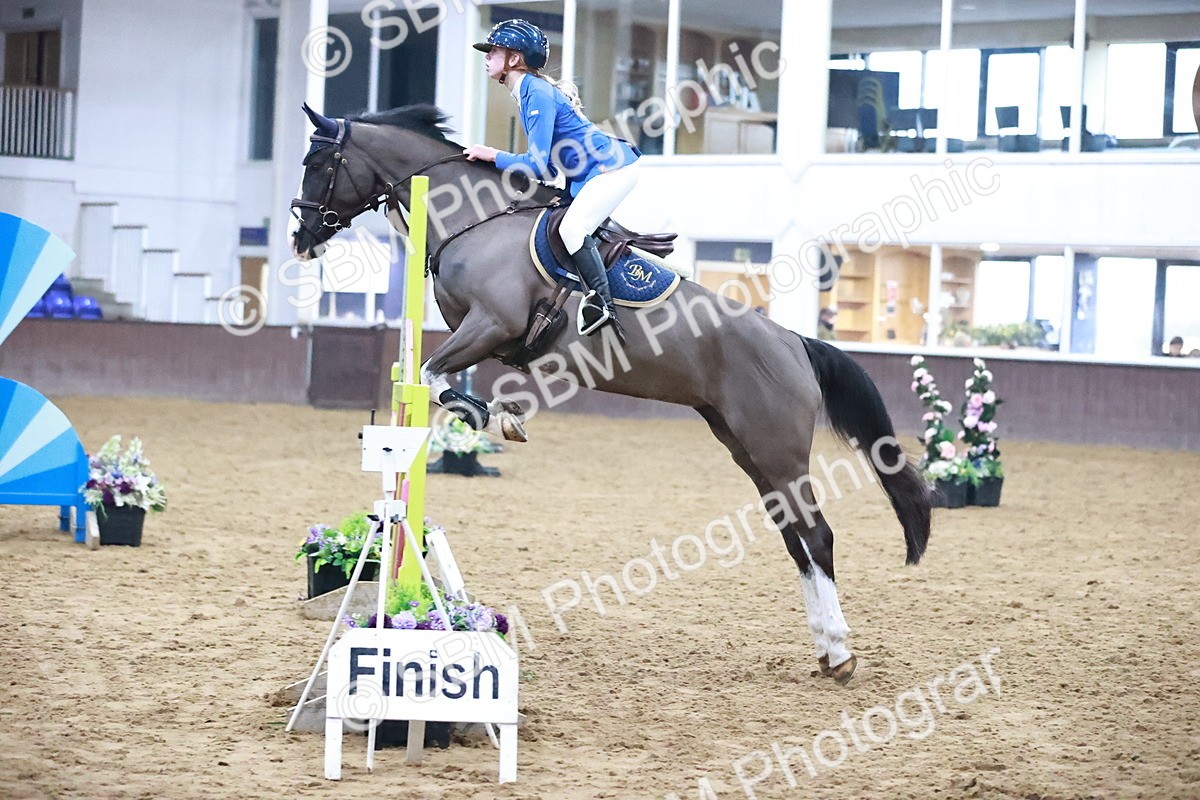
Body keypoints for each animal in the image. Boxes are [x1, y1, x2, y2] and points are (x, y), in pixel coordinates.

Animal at [289, 104, 932, 684]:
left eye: (317, 163)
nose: (300, 238)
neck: (478, 217)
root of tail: (795, 342)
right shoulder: (479, 335)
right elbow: (433, 375)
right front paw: (495, 414)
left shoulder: (491, 326)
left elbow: (433, 374)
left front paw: (494, 417)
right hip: (747, 449)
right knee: (796, 541)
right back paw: (824, 647)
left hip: (778, 450)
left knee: (817, 536)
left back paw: (841, 652)